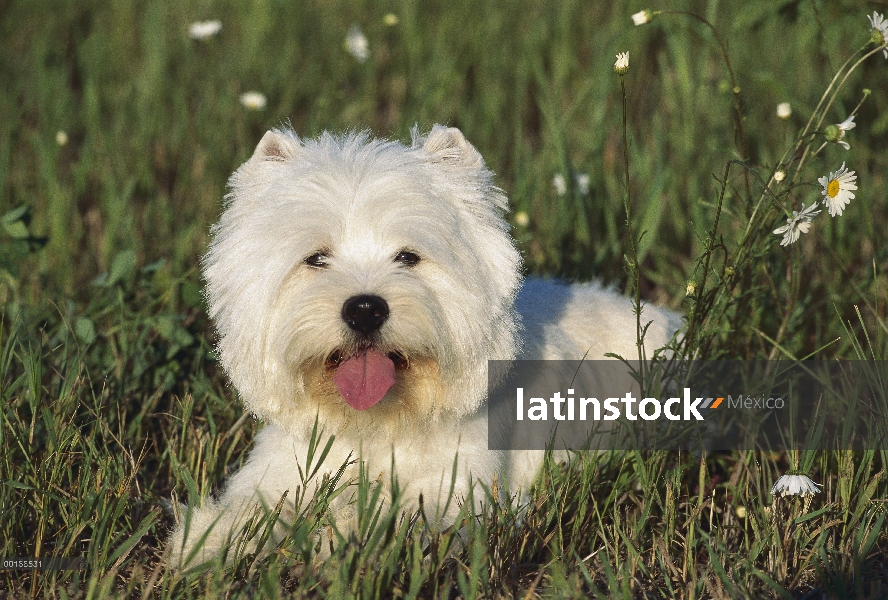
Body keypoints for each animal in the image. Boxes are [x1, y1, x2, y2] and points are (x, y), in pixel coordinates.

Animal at [166, 125, 680, 568]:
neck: (376, 423)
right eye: (316, 259)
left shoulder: (460, 486)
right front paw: (203, 541)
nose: (365, 309)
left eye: (408, 257)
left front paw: (342, 534)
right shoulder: (281, 469)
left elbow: (404, 515)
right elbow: (252, 508)